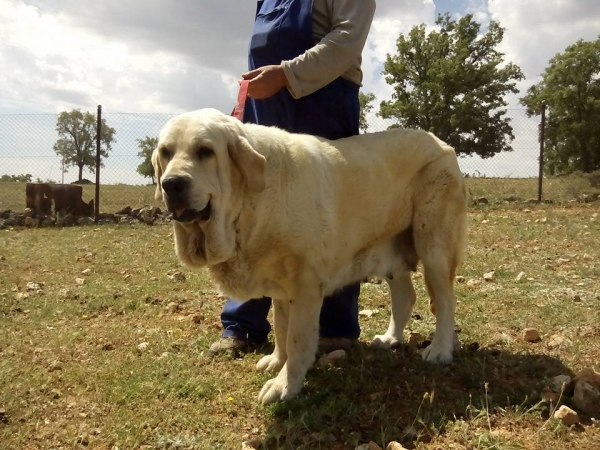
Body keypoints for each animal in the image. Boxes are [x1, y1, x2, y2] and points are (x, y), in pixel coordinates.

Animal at [151, 108, 468, 404]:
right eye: (166, 152)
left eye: (205, 151)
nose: (172, 184)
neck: (248, 204)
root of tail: (443, 144)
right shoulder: (281, 289)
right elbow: (281, 329)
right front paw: (277, 361)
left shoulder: (306, 286)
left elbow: (297, 338)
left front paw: (285, 384)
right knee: (405, 297)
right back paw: (391, 338)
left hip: (433, 244)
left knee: (445, 300)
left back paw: (440, 349)